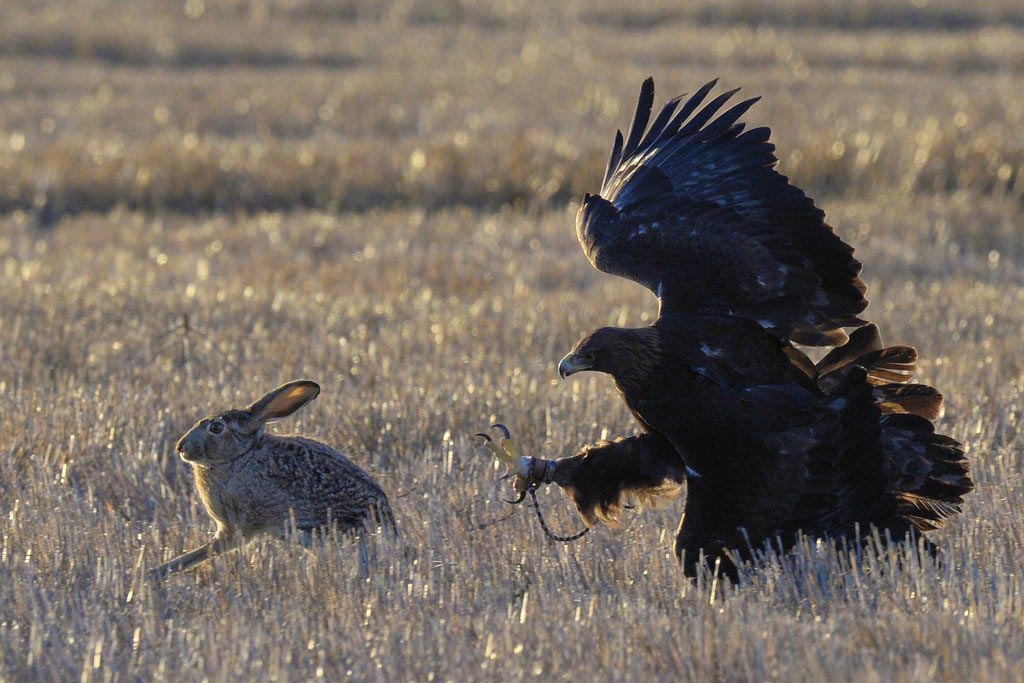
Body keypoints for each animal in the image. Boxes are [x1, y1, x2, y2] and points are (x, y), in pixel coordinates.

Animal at [150, 380, 397, 579]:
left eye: (216, 427)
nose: (180, 447)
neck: (240, 455)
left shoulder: (236, 527)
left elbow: (210, 549)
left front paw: (155, 572)